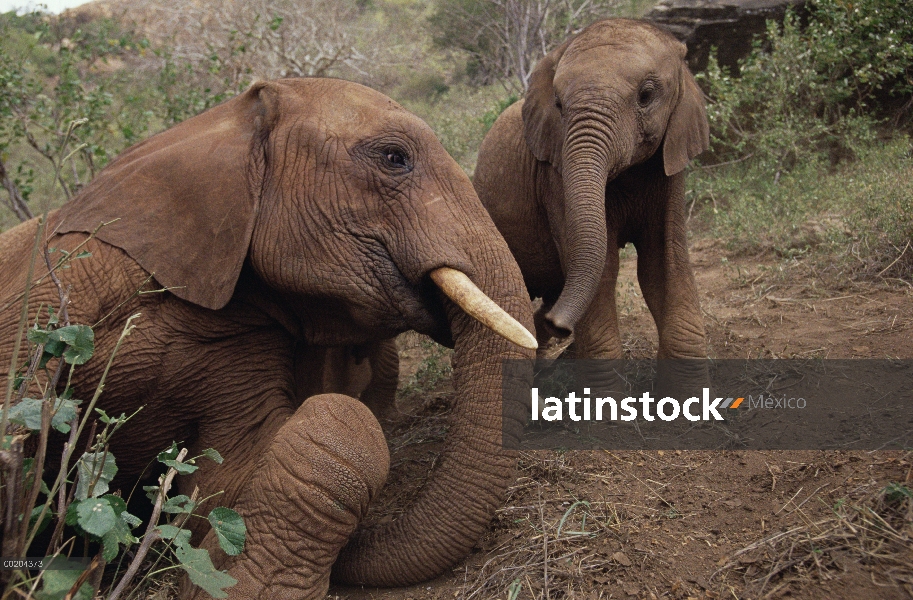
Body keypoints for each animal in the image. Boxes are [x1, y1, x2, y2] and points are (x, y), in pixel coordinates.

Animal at [474, 17, 708, 366]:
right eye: (558, 104)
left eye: (646, 95)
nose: (558, 325)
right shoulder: (554, 174)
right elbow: (602, 268)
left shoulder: (670, 164)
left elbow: (662, 264)